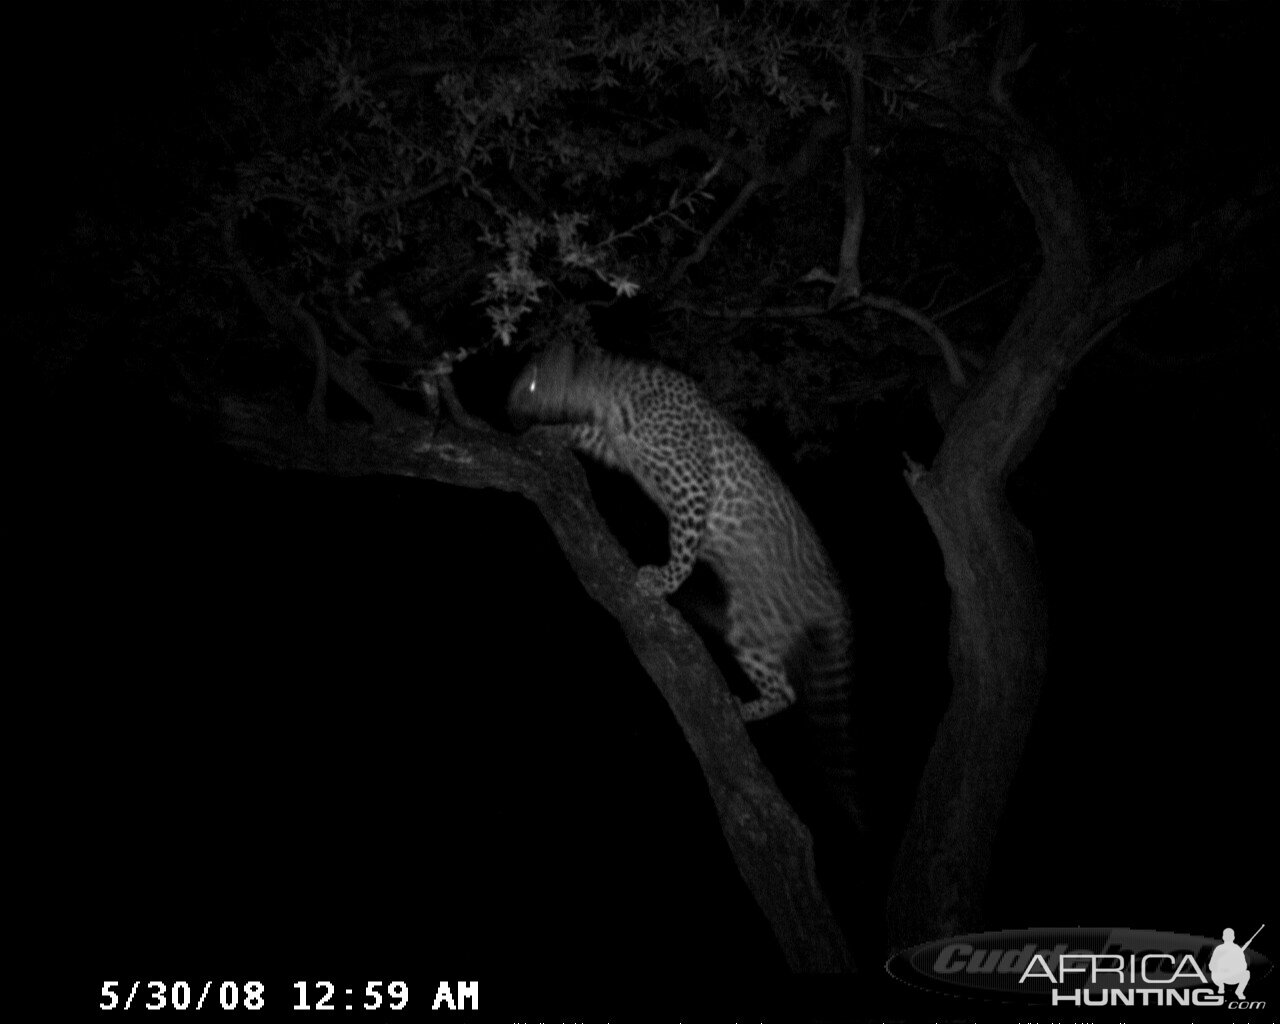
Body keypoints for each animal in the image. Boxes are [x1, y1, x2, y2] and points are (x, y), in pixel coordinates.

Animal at [509, 343, 860, 824]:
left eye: (529, 383)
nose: (508, 406)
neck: (610, 392)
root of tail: (834, 591)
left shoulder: (692, 485)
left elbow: (683, 548)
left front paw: (660, 581)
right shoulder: (614, 446)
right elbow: (583, 432)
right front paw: (545, 435)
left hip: (757, 620)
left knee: (786, 689)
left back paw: (742, 707)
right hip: (756, 627)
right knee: (785, 688)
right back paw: (744, 709)